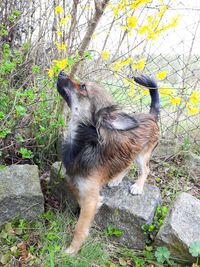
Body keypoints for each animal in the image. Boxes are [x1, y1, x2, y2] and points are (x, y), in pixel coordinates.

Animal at [56, 71, 159, 255]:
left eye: (83, 87)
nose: (61, 72)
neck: (84, 144)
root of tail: (151, 115)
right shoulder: (75, 183)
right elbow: (80, 201)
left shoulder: (90, 197)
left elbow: (80, 228)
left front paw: (72, 251)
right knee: (127, 164)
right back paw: (116, 179)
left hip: (143, 155)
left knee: (145, 170)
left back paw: (138, 186)